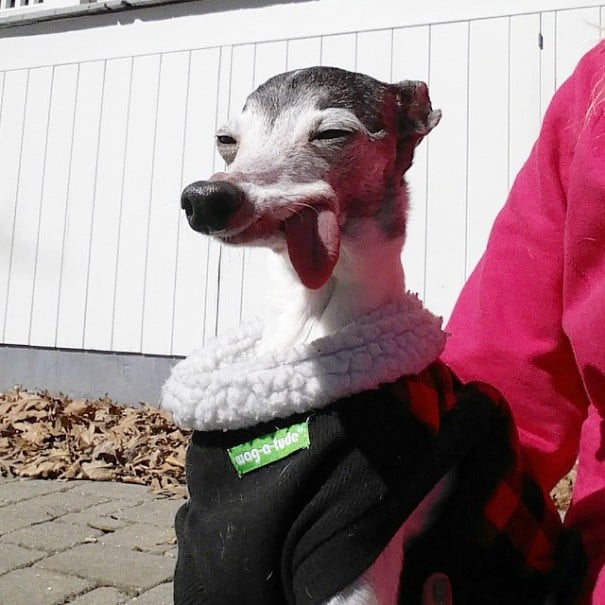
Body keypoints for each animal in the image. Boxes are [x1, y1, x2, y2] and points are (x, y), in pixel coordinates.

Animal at [162, 67, 584, 604]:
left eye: (331, 133)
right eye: (226, 140)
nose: (206, 198)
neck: (308, 327)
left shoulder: (350, 549)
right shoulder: (207, 559)